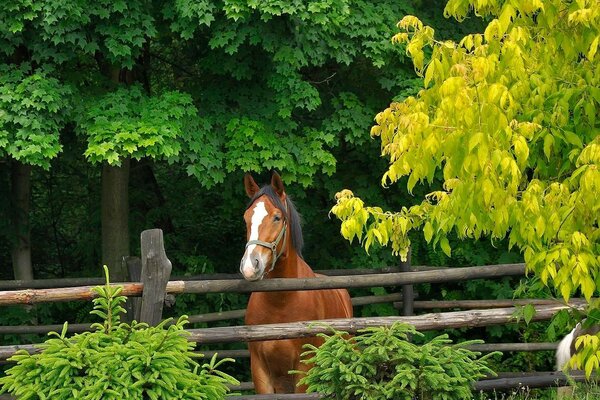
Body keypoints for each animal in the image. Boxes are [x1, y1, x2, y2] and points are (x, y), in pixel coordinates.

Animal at [238, 173, 352, 394]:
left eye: (277, 217)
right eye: (246, 218)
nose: (250, 266)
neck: (281, 301)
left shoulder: (304, 367)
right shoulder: (260, 369)